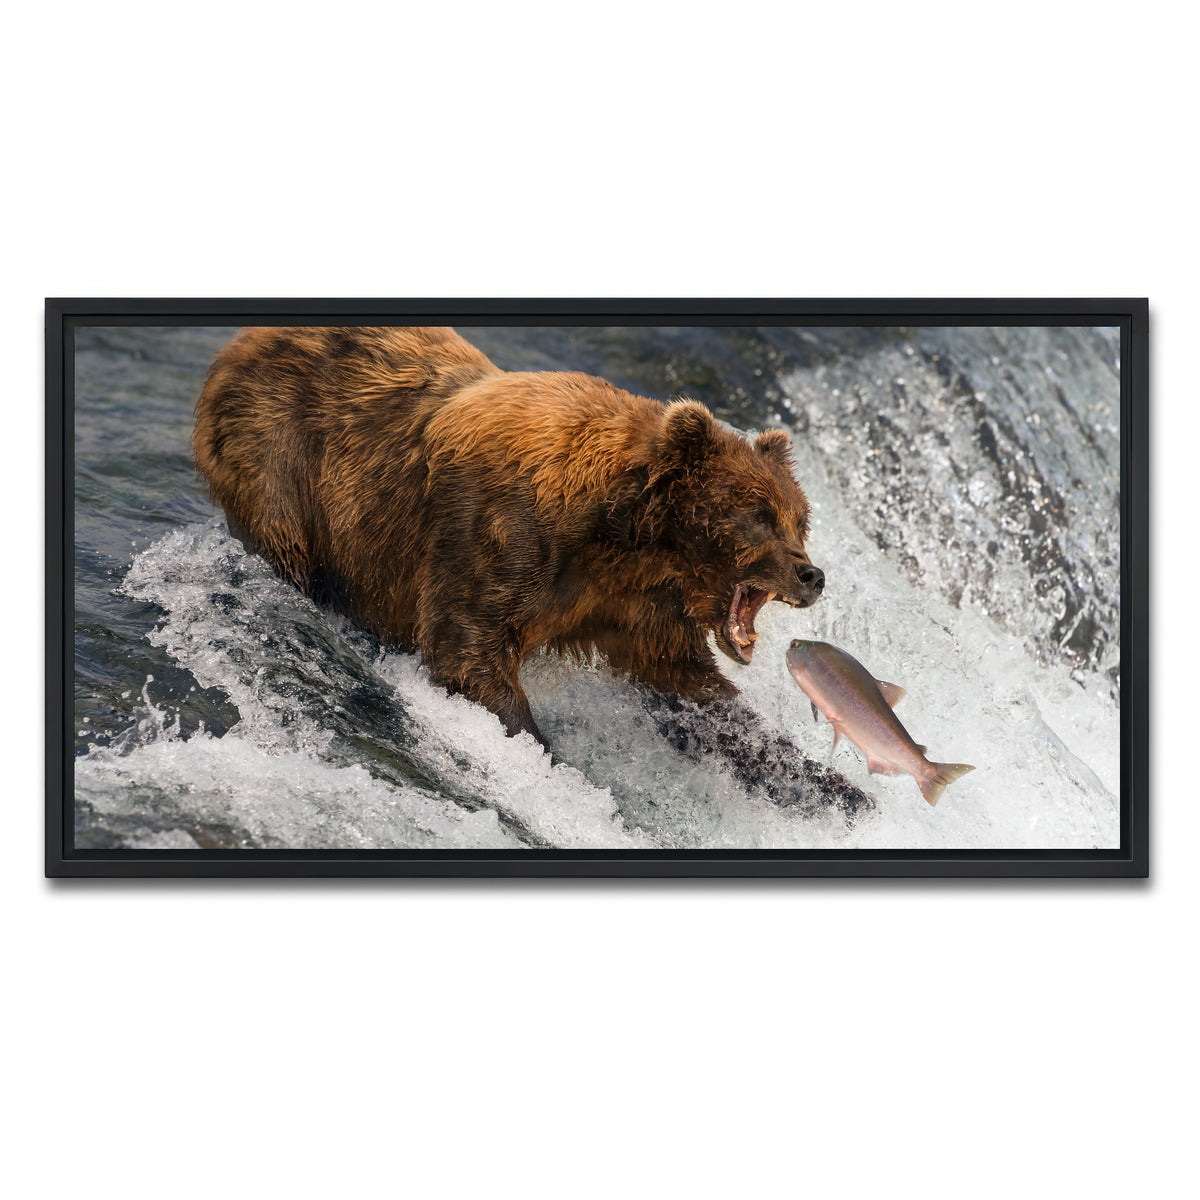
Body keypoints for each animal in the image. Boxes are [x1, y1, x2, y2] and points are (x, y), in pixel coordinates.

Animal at [192, 326, 828, 762]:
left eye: (800, 520)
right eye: (758, 516)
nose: (812, 575)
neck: (622, 533)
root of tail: (241, 343)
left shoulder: (629, 602)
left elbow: (689, 683)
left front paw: (824, 784)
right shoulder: (501, 532)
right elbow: (468, 649)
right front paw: (541, 749)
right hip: (279, 453)